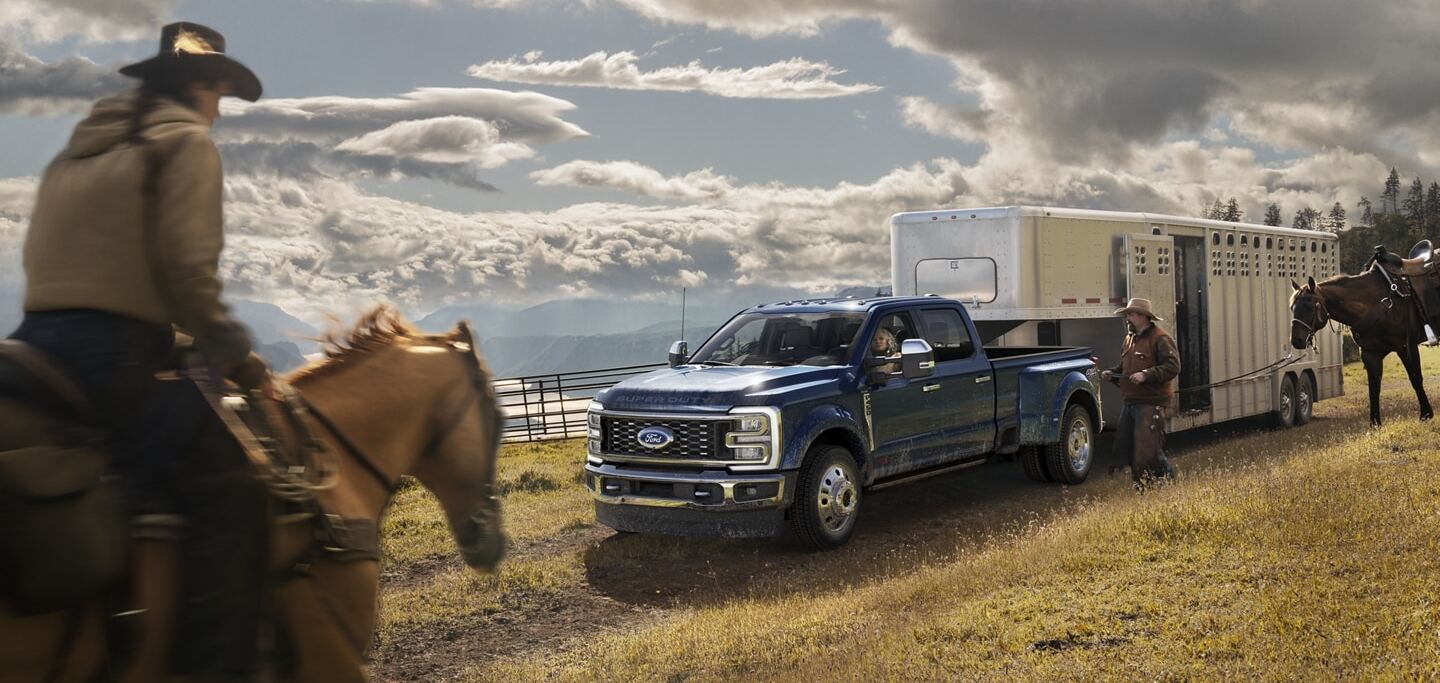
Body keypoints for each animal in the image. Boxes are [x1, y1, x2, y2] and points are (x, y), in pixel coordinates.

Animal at [1296, 273, 1428, 423]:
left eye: (1309, 307)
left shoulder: (1406, 347)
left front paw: (1426, 414)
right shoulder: (1370, 353)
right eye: (1292, 307)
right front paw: (1375, 423)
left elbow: (1416, 378)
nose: (1296, 339)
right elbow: (1374, 389)